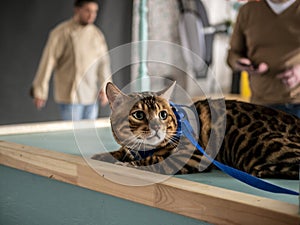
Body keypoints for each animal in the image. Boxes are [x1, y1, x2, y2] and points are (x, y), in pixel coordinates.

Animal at [92, 81, 300, 178]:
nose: (157, 127)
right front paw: (103, 156)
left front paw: (127, 165)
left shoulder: (192, 155)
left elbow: (156, 161)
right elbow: (121, 151)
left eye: (163, 115)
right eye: (139, 115)